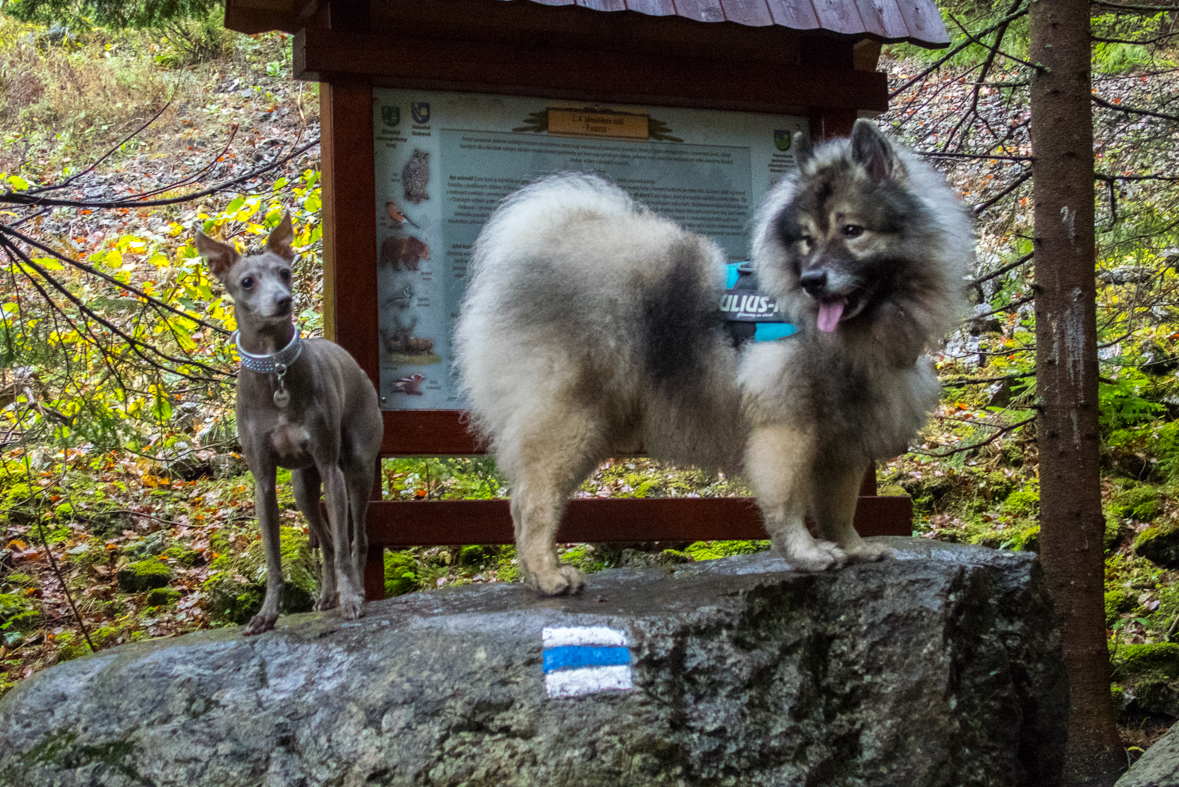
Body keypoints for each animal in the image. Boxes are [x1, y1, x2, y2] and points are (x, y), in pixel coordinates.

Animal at [196, 213, 381, 631]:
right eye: (247, 281)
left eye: (285, 272)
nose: (284, 300)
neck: (274, 368)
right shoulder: (264, 481)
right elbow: (274, 558)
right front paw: (267, 613)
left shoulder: (330, 468)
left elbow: (344, 547)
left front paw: (351, 599)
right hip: (302, 488)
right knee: (325, 540)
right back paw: (327, 595)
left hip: (356, 469)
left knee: (356, 539)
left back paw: (356, 590)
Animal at [455, 120, 971, 593]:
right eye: (806, 238)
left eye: (851, 231)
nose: (812, 281)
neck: (851, 333)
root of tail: (530, 256)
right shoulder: (786, 427)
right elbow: (787, 500)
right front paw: (807, 554)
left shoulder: (844, 440)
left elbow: (839, 509)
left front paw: (854, 549)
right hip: (570, 422)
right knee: (534, 501)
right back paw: (547, 575)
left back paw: (533, 575)